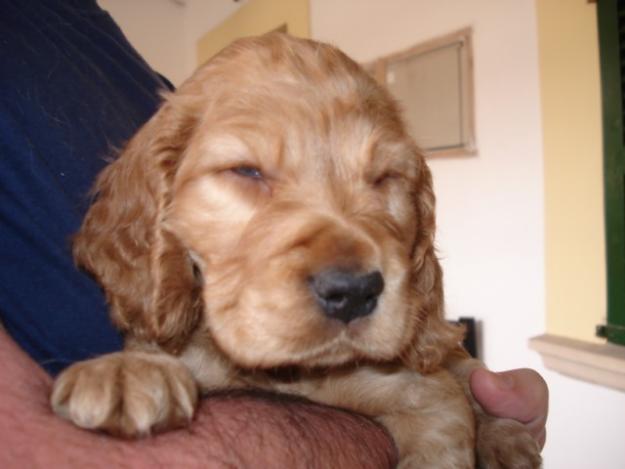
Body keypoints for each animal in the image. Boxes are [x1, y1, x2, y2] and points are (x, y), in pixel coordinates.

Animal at [51, 33, 540, 468]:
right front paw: (124, 371)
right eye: (246, 171)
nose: (354, 292)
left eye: (384, 178)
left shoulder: (426, 396)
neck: (289, 373)